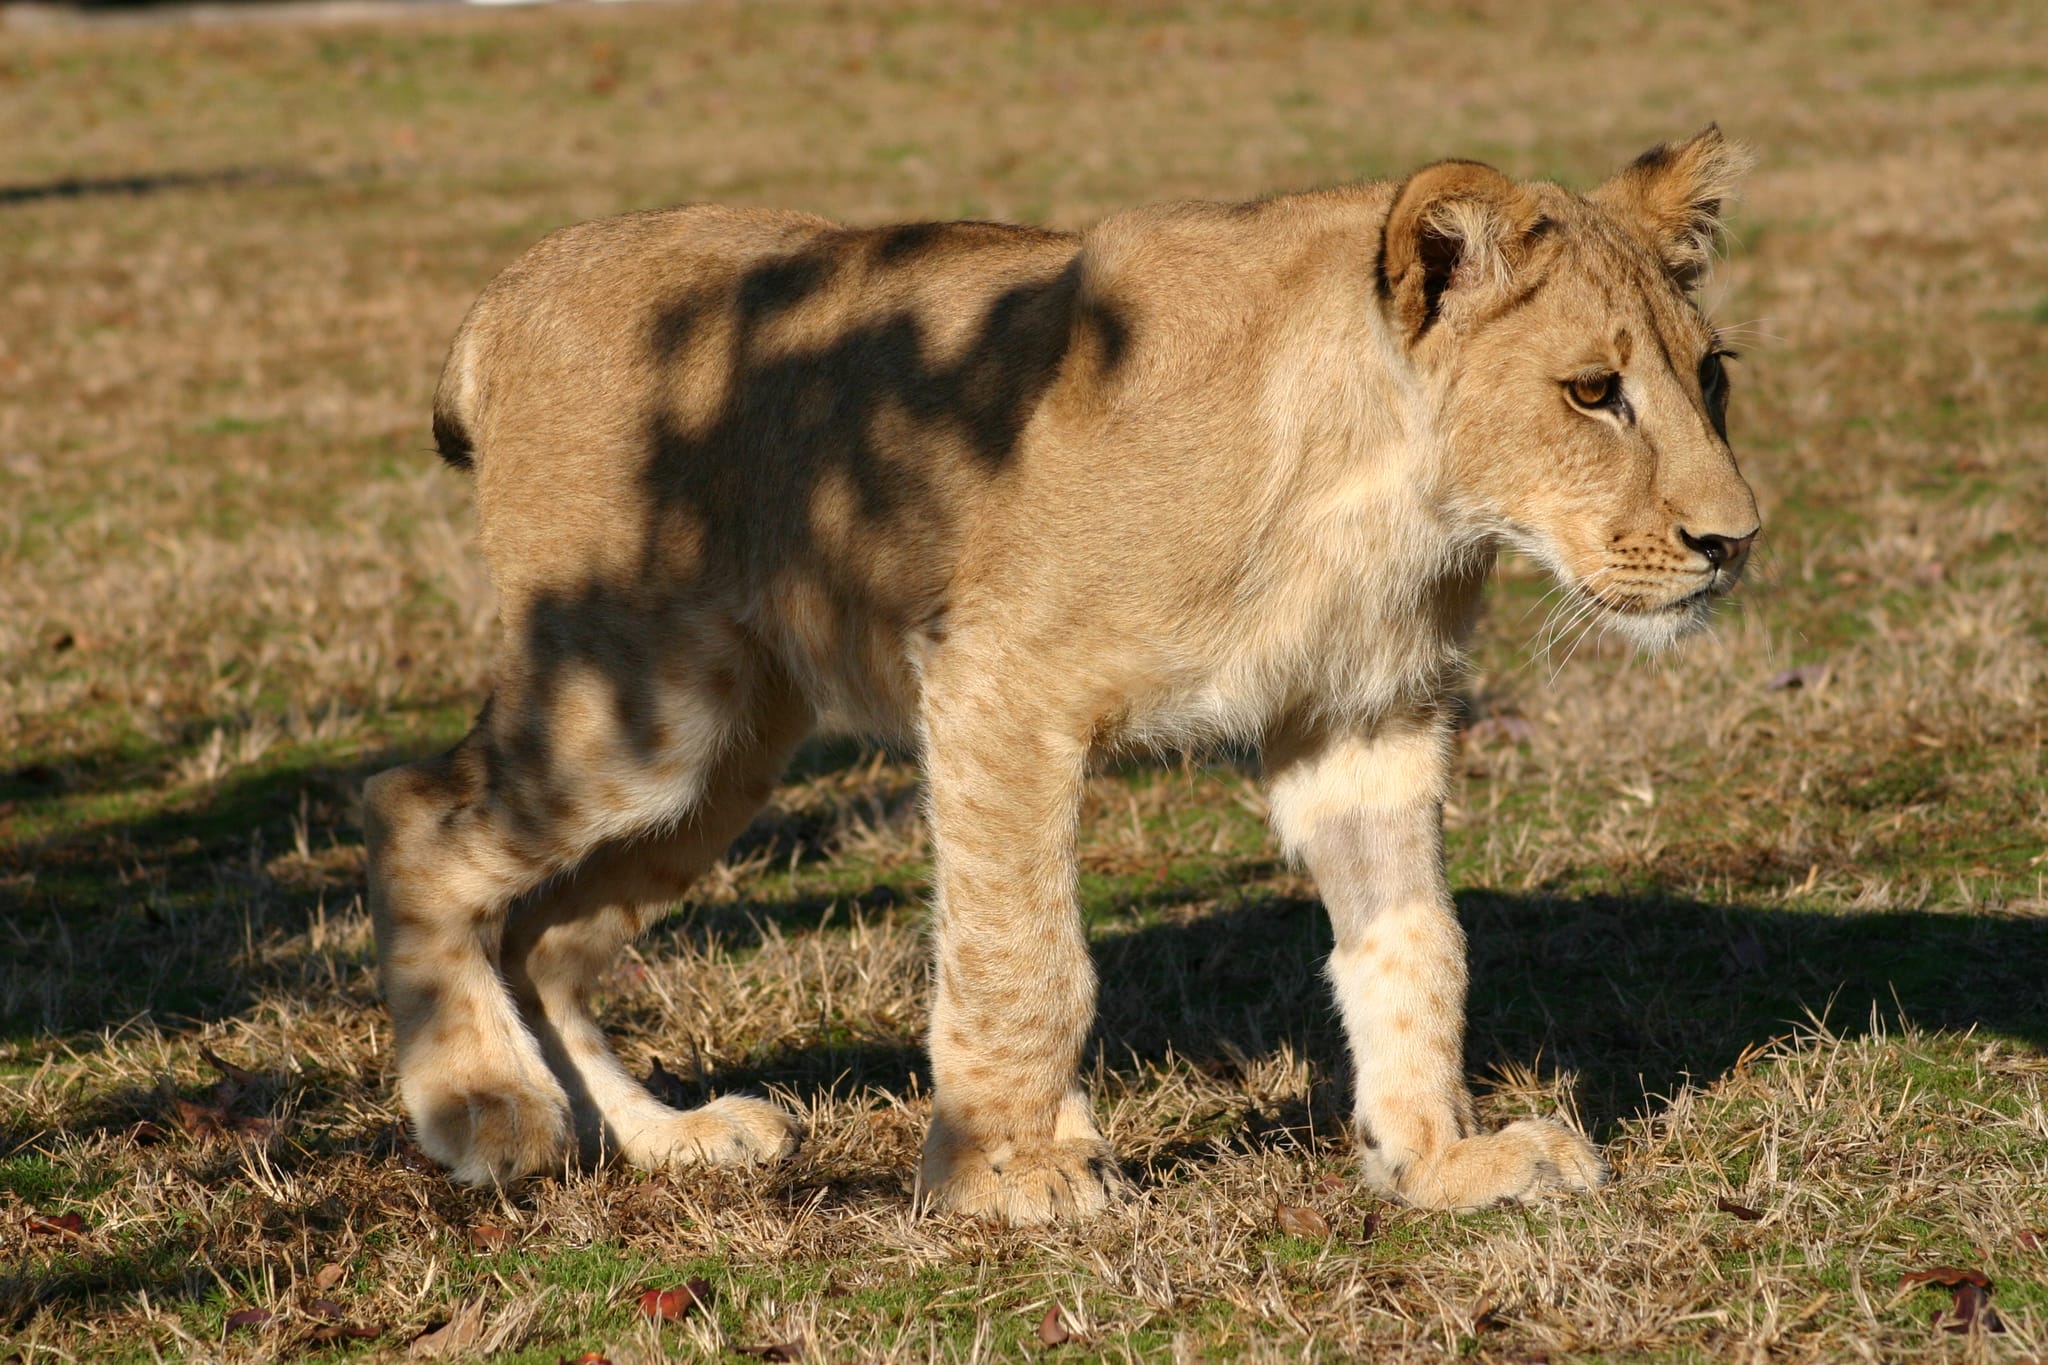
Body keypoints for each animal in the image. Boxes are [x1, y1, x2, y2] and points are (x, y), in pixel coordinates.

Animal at [364, 126, 1759, 1223]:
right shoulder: (996, 683)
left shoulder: (1363, 722)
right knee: (413, 814)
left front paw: (1437, 1161)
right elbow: (1023, 952)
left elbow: (1413, 942)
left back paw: (666, 1141)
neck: (1393, 498)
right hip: (645, 703)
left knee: (543, 935)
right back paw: (484, 1107)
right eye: (1591, 392)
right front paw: (1003, 1177)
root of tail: (508, 286)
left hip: (724, 752)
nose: (1733, 541)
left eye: (1709, 375)